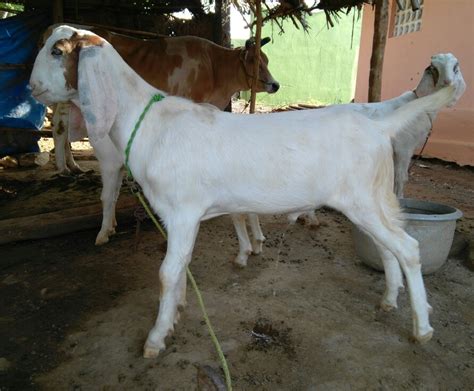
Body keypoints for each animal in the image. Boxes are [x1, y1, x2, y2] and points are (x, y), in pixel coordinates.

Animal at [30, 26, 460, 360]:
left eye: (57, 51)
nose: (32, 87)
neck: (148, 120)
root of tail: (378, 126)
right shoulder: (179, 216)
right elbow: (181, 265)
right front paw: (178, 312)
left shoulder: (183, 210)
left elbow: (167, 272)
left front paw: (155, 338)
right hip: (371, 199)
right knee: (389, 248)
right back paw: (390, 299)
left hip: (363, 200)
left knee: (409, 248)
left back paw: (422, 328)